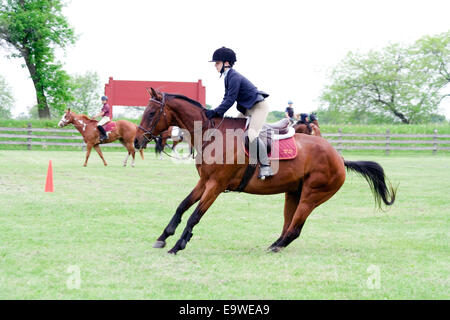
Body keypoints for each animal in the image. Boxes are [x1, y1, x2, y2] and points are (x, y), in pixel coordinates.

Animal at [135, 89, 396, 255]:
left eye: (151, 113)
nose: (137, 141)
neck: (212, 134)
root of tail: (339, 158)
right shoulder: (205, 182)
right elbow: (182, 206)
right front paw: (163, 237)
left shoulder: (216, 185)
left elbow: (195, 215)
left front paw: (178, 245)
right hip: (294, 193)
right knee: (289, 224)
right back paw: (274, 245)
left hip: (312, 195)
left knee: (296, 228)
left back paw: (275, 247)